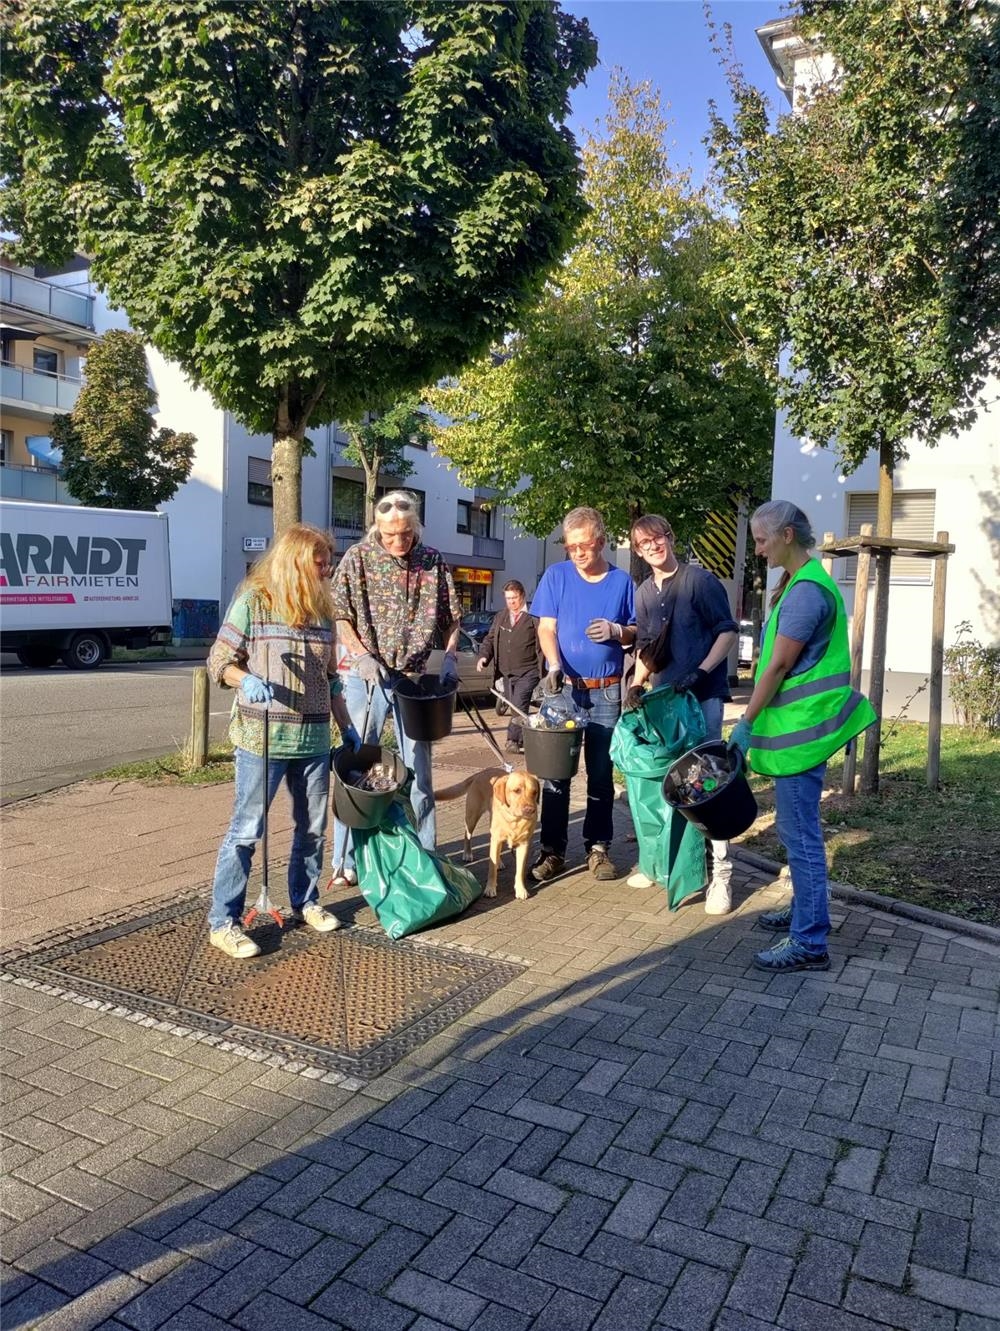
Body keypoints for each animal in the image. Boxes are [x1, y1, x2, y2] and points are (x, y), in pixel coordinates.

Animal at [436, 766, 540, 899]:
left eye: (534, 792)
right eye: (517, 791)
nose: (530, 810)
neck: (514, 820)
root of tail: (480, 773)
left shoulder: (524, 844)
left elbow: (520, 871)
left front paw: (521, 890)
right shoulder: (495, 839)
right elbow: (491, 868)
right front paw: (490, 888)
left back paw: (499, 863)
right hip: (472, 816)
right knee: (467, 834)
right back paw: (467, 853)